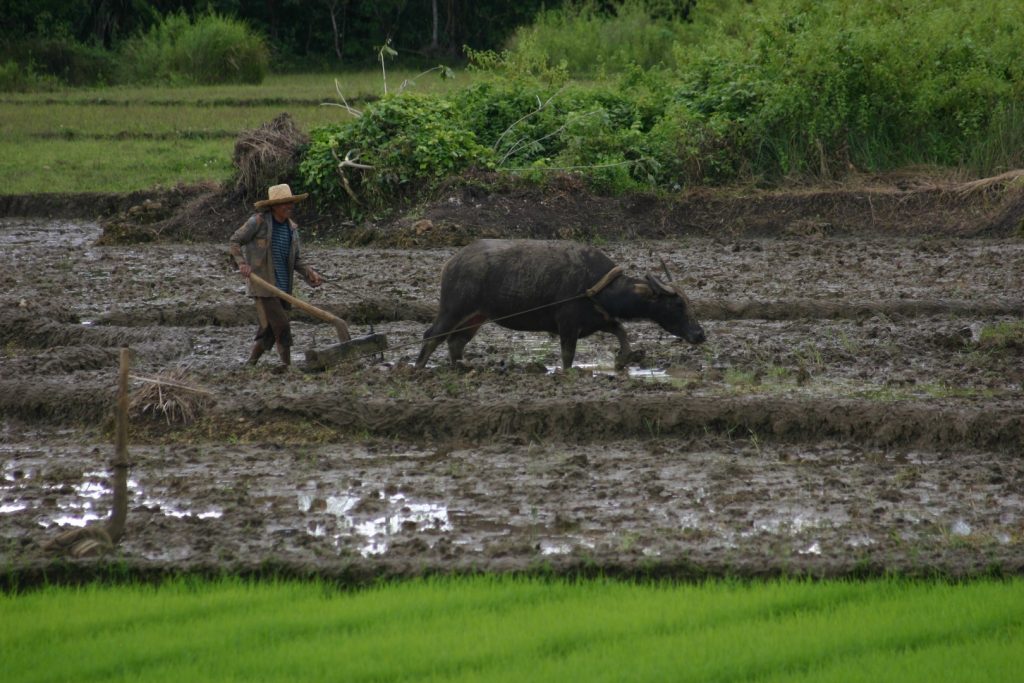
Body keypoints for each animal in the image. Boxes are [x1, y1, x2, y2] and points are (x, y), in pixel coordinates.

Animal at [415, 239, 706, 370]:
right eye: (677, 305)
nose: (700, 334)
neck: (598, 286)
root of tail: (451, 263)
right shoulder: (567, 326)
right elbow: (568, 357)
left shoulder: (597, 320)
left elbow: (621, 330)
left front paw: (623, 359)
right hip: (453, 309)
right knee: (432, 335)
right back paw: (418, 369)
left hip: (476, 317)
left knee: (455, 342)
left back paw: (461, 366)